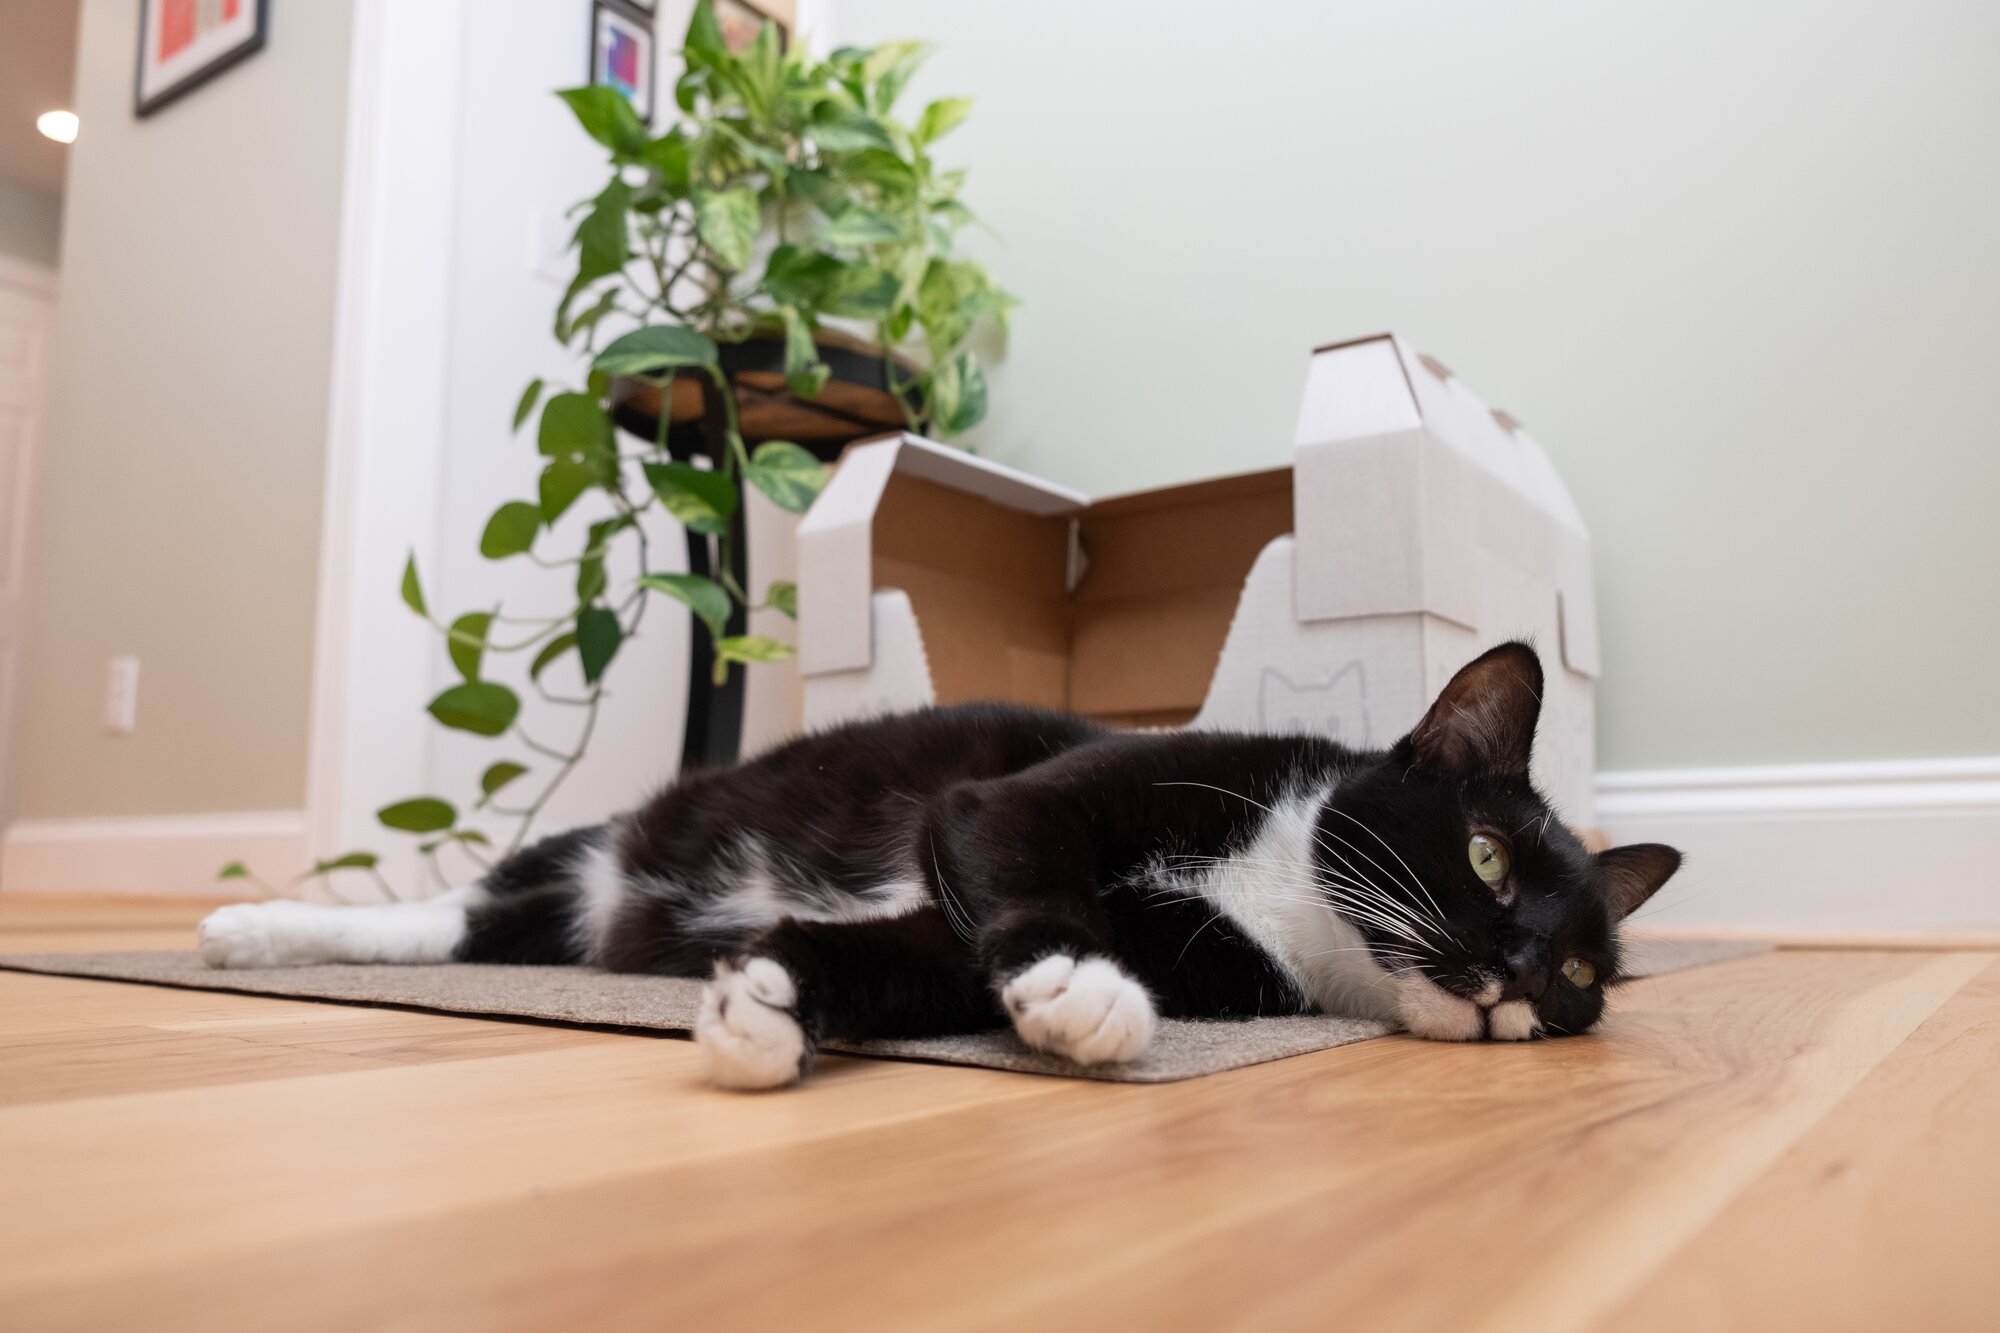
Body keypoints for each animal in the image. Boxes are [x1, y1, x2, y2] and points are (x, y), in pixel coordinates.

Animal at [203, 640, 1680, 1088]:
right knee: (452, 908)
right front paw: (1084, 986)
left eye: (1580, 969)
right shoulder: (1019, 802)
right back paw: (253, 927)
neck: (1285, 896)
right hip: (596, 845)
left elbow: (936, 964)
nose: (1512, 972)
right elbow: (1019, 865)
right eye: (1484, 855)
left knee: (475, 929)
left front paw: (772, 1001)